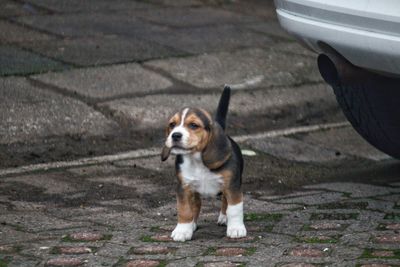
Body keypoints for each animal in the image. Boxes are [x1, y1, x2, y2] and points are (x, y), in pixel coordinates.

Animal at [161, 86, 245, 243]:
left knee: (225, 201)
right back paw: (192, 224)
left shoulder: (232, 186)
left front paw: (236, 228)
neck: (197, 161)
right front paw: (183, 230)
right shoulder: (184, 187)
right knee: (196, 206)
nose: (175, 135)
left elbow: (234, 209)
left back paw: (224, 217)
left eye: (194, 125)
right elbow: (185, 210)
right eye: (172, 125)